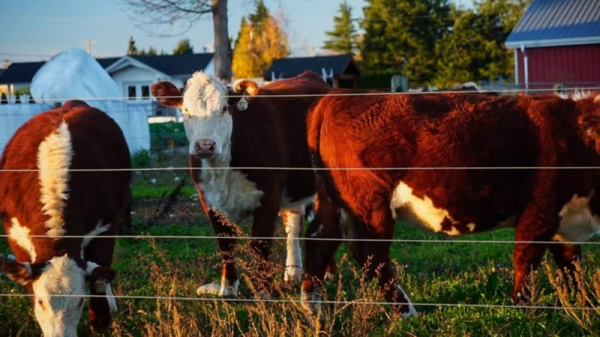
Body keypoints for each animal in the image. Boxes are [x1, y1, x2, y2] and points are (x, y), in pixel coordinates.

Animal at [0, 100, 131, 336]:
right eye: (41, 302)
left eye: (80, 301)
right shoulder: (15, 234)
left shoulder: (106, 227)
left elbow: (98, 279)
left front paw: (101, 321)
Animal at [149, 71, 328, 296]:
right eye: (186, 110)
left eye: (224, 108)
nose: (204, 145)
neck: (222, 170)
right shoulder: (209, 201)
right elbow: (226, 244)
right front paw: (227, 289)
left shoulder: (269, 196)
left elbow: (260, 245)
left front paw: (263, 292)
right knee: (294, 224)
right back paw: (292, 274)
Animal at [302, 90, 600, 316]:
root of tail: (335, 98)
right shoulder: (540, 212)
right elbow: (526, 262)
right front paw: (523, 311)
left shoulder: (565, 221)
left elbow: (572, 266)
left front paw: (585, 306)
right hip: (370, 205)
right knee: (371, 256)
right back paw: (406, 313)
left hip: (334, 202)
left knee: (318, 242)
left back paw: (314, 310)